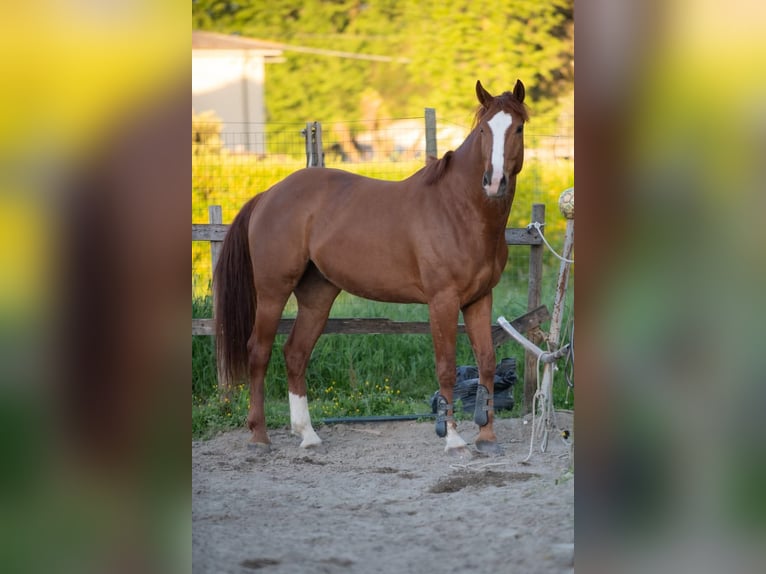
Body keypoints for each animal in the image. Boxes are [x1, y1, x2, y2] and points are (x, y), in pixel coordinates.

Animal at [216, 82, 528, 460]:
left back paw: (308, 434)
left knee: (295, 353)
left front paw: (487, 437)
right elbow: (446, 367)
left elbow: (487, 362)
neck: (459, 209)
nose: (493, 182)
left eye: (518, 128)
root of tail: (268, 194)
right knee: (259, 352)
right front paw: (453, 439)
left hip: (317, 296)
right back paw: (259, 435)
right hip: (273, 291)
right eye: (483, 130)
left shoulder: (480, 299)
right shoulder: (443, 301)